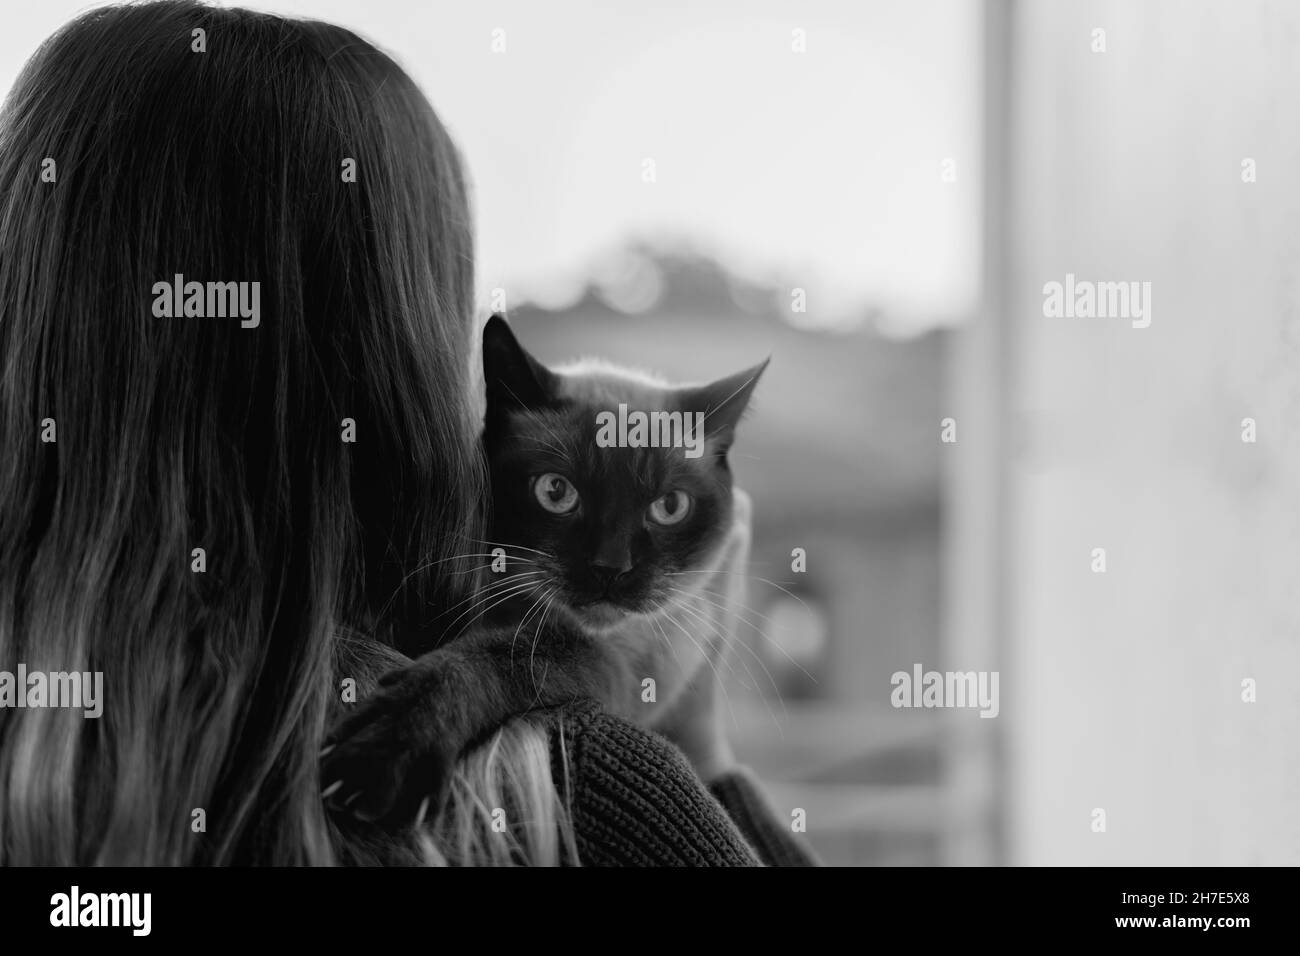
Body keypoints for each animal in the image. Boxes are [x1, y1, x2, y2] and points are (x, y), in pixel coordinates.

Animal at [321, 317, 764, 827]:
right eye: (556, 491)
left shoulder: (629, 659)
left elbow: (501, 657)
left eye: (670, 506)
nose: (610, 568)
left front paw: (381, 753)